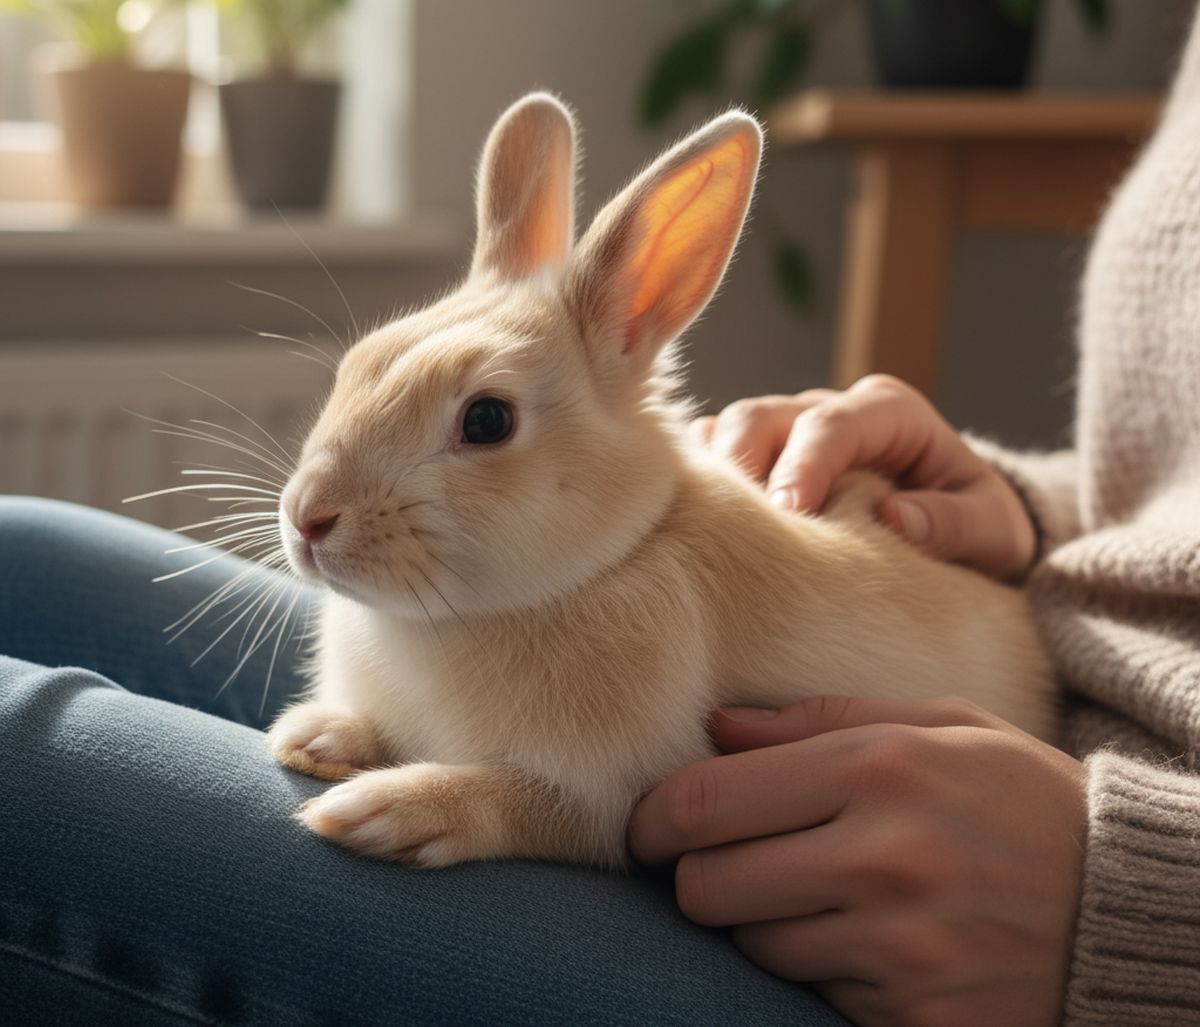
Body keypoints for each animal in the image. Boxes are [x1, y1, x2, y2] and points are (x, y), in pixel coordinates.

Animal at [266, 92, 1055, 871]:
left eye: (488, 420)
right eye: (356, 365)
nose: (308, 518)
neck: (607, 561)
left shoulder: (612, 803)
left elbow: (522, 804)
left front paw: (375, 811)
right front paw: (314, 737)